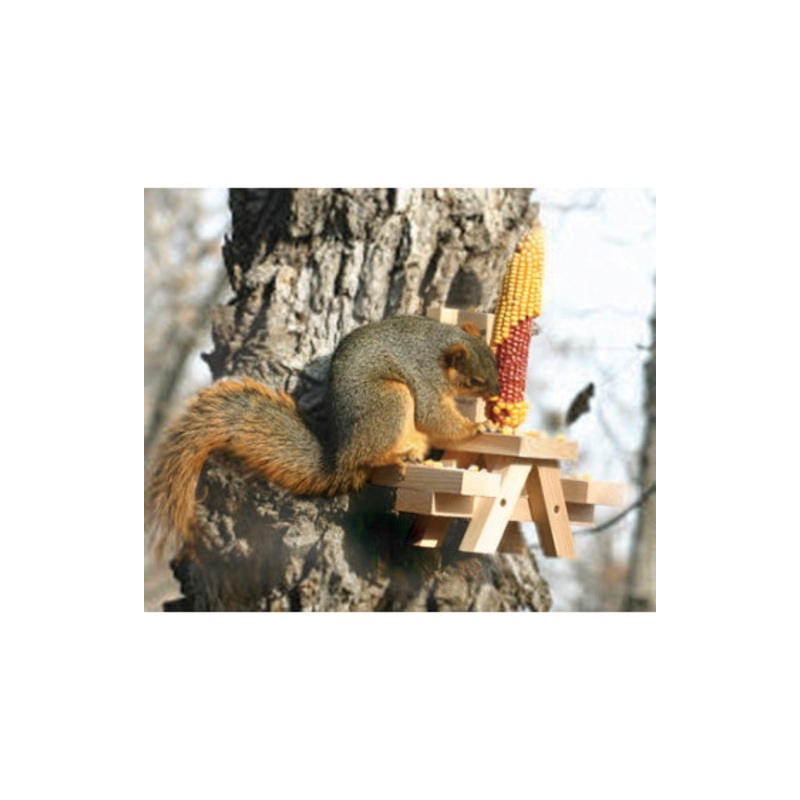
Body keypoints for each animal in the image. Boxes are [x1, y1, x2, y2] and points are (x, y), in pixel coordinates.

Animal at [145, 315, 500, 559]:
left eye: (495, 362)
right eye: (474, 380)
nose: (497, 392)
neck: (437, 348)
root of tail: (340, 459)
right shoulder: (425, 381)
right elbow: (432, 416)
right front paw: (476, 428)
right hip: (390, 399)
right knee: (373, 455)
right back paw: (397, 457)